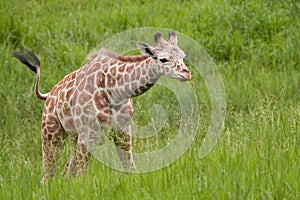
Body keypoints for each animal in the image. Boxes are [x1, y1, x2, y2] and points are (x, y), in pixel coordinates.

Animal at [12, 31, 191, 184]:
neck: (114, 90)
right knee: (48, 175)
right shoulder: (88, 135)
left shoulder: (123, 133)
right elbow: (81, 177)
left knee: (65, 171)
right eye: (163, 59)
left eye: (183, 56)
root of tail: (49, 94)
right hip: (51, 133)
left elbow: (131, 170)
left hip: (72, 136)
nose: (186, 73)